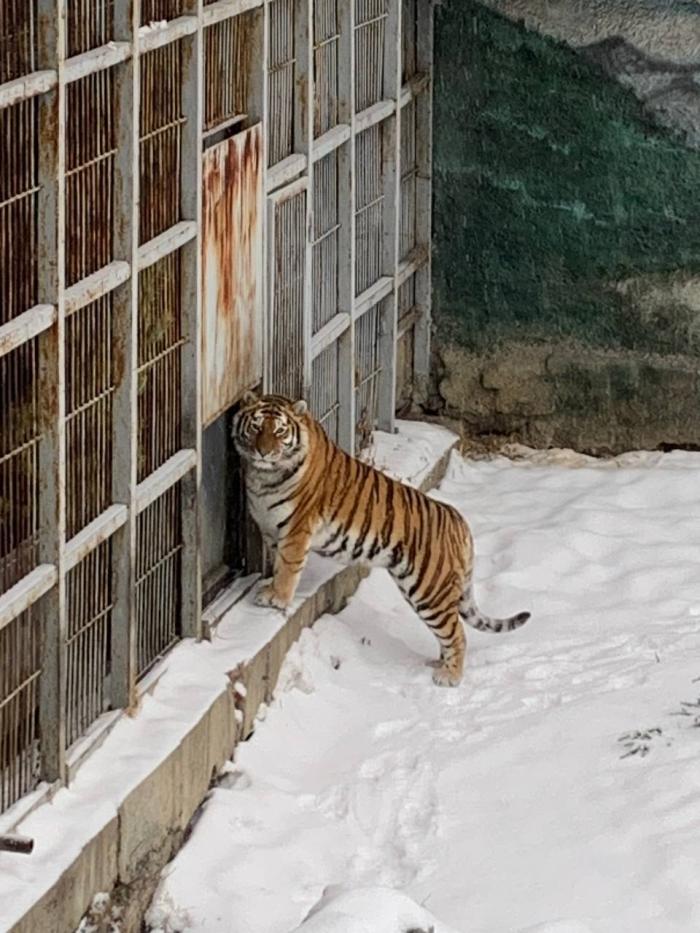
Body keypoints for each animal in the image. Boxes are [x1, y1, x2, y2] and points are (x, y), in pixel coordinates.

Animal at [231, 390, 532, 688]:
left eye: (280, 431)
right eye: (256, 427)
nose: (264, 452)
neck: (262, 476)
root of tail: (459, 521)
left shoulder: (296, 529)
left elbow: (288, 568)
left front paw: (278, 598)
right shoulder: (271, 529)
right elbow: (277, 563)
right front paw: (269, 589)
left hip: (430, 590)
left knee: (457, 633)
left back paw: (449, 676)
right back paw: (439, 664)